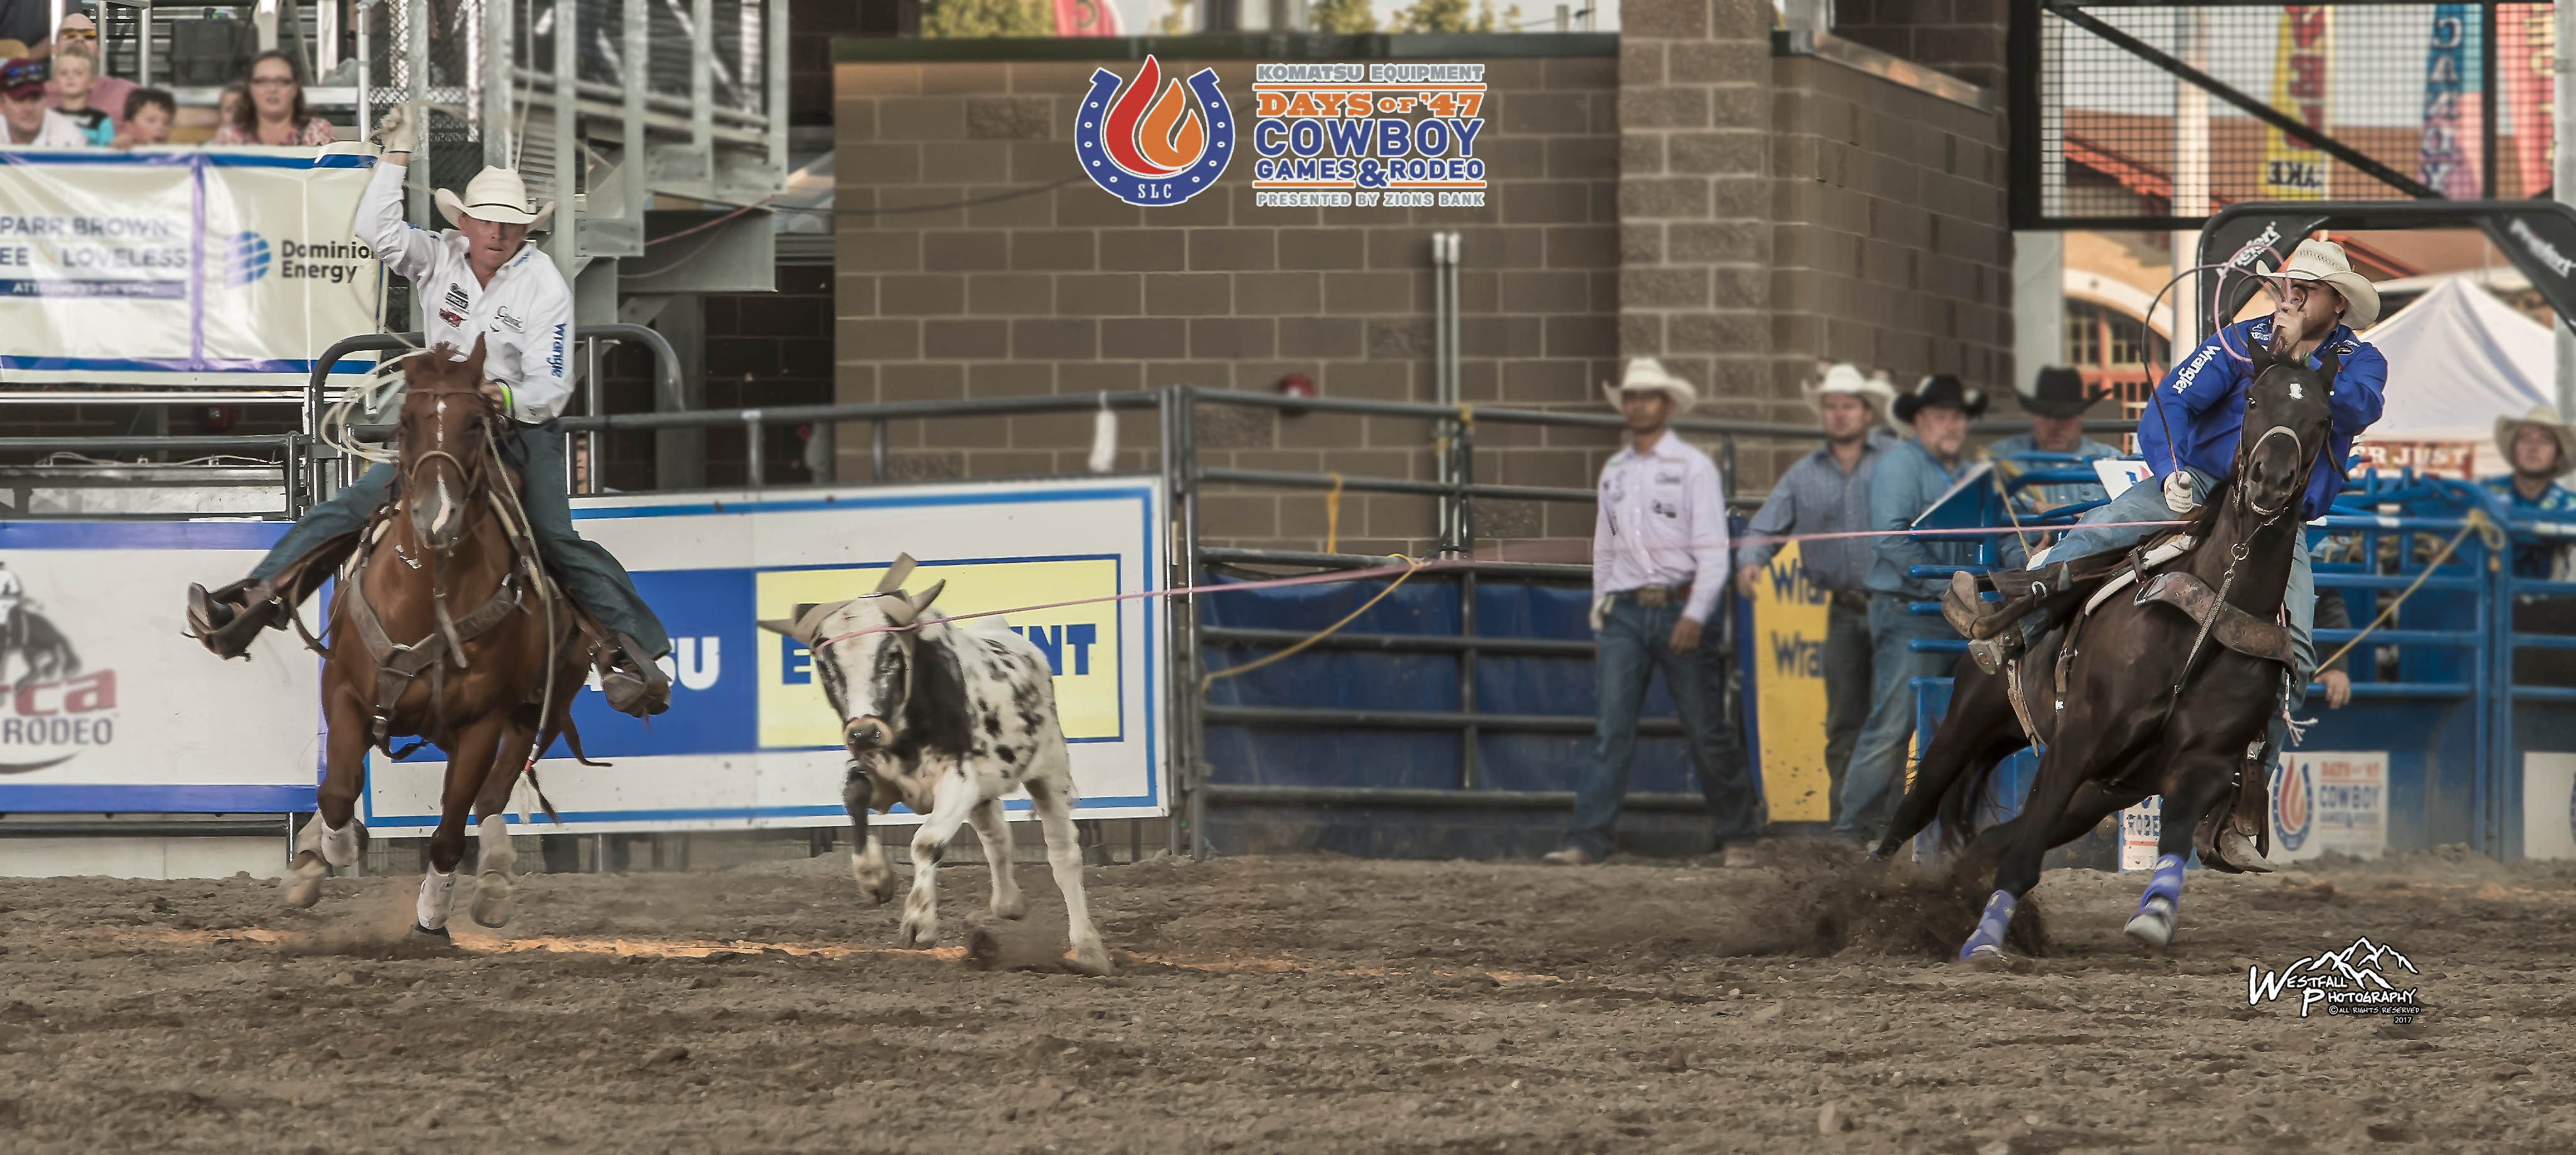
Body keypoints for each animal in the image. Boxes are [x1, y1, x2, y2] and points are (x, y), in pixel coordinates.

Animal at [284, 336, 590, 931]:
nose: (438, 516)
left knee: (491, 798)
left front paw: (431, 916)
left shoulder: (482, 723)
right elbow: (338, 792)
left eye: (475, 423)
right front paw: (332, 849)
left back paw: (493, 883)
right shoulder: (345, 692)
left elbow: (450, 831)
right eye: (404, 421)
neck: (430, 596)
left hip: (536, 711)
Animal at [752, 553, 1102, 967]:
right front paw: (874, 877)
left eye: (891, 655)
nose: (864, 733)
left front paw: (919, 921)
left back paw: (1088, 949)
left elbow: (927, 842)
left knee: (1063, 854)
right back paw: (1008, 904)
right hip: (987, 793)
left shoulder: (961, 780)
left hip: (1050, 771)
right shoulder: (880, 775)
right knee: (997, 838)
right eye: (825, 664)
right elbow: (855, 798)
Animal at [1885, 336, 2349, 957]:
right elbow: (2024, 853)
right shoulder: (2078, 738)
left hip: (2096, 795)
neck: (2207, 615)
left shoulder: (2201, 763)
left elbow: (2172, 835)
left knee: (1991, 841)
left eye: (2324, 419)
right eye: (2251, 399)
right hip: (1968, 723)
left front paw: (2155, 912)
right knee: (1915, 812)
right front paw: (1984, 941)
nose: (2269, 480)